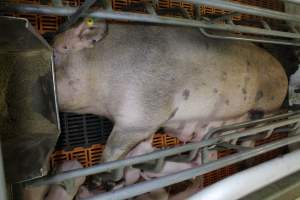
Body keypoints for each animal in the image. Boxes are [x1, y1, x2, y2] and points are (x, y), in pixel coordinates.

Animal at [53, 18, 288, 163]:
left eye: (54, 56)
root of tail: (284, 74)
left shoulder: (141, 111)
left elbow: (114, 148)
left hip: (268, 105)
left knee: (257, 131)